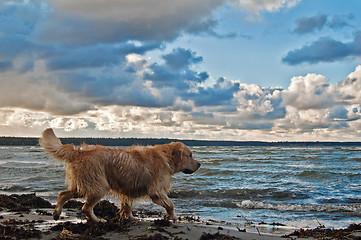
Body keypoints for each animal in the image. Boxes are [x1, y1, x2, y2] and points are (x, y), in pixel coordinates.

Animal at [39, 128, 200, 222]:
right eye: (190, 155)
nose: (199, 164)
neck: (166, 157)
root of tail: (78, 151)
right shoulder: (156, 191)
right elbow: (170, 204)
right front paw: (174, 217)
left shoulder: (128, 188)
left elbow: (127, 205)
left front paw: (130, 217)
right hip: (99, 186)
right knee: (85, 208)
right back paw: (98, 220)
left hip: (83, 185)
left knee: (62, 194)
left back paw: (56, 213)